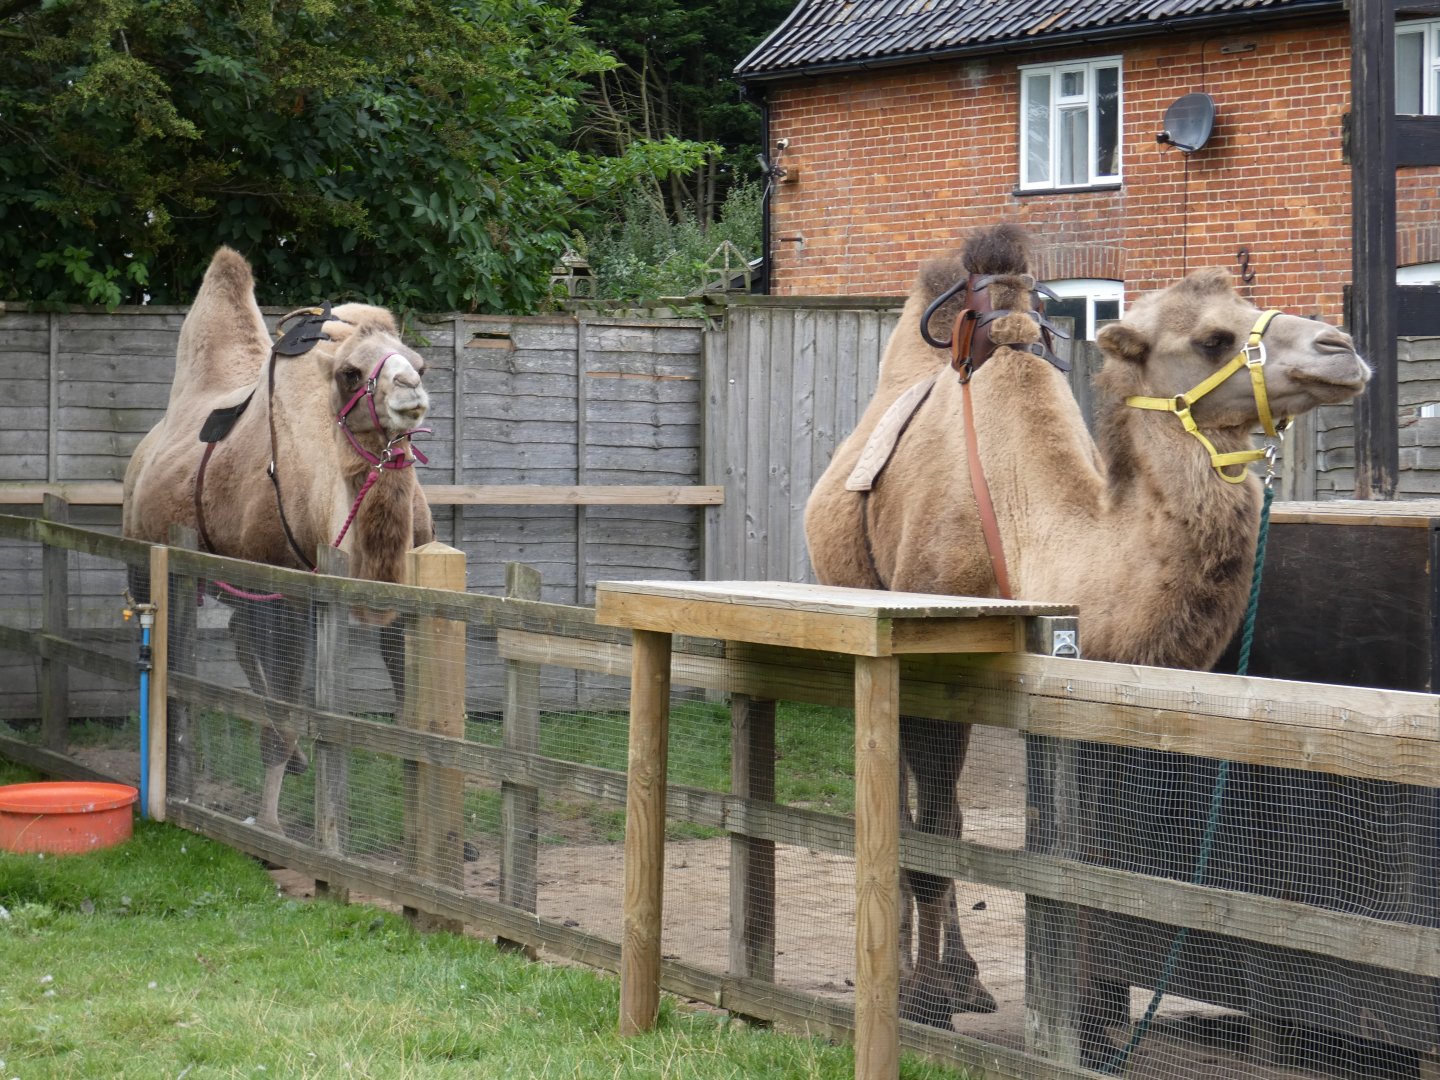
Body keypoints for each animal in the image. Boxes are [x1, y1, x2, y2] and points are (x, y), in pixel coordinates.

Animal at [123, 246, 434, 834]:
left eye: (419, 363)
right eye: (351, 373)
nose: (411, 391)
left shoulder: (401, 600)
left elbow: (412, 724)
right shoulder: (285, 590)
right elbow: (283, 719)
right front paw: (269, 826)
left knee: (240, 633)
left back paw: (299, 761)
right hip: (147, 554)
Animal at [804, 224, 1369, 1044]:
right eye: (1213, 338)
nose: (1343, 348)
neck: (1028, 537)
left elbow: (1086, 860)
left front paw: (1089, 1020)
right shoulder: (928, 671)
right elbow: (927, 833)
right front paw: (920, 1002)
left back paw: (968, 977)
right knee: (919, 814)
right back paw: (931, 979)